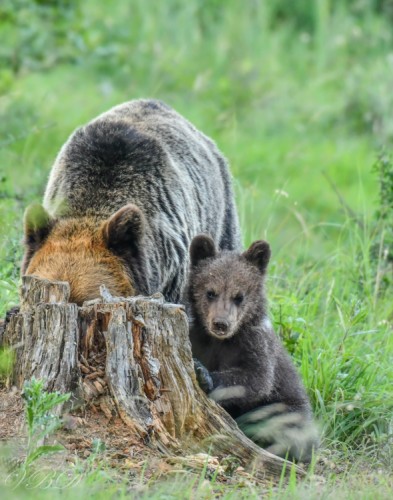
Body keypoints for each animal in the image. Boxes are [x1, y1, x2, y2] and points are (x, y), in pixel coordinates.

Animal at [185, 234, 318, 460]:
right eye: (210, 292)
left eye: (239, 296)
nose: (221, 324)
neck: (220, 341)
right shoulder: (197, 338)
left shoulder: (254, 345)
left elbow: (256, 378)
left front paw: (203, 374)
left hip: (290, 406)